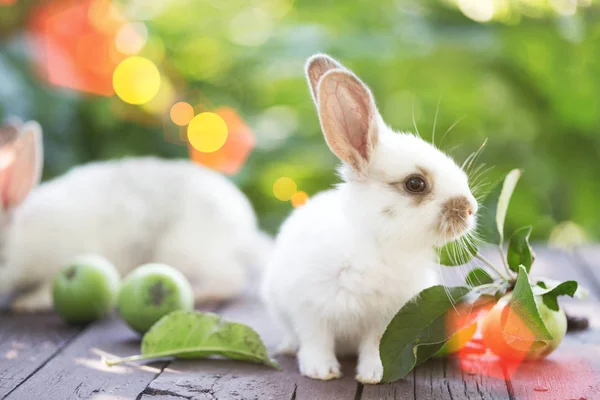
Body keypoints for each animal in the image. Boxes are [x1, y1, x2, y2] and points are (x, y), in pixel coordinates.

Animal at [0, 119, 272, 312]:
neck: (22, 239)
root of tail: (245, 233)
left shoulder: (65, 259)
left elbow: (47, 289)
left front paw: (27, 303)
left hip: (182, 251)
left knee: (231, 279)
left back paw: (200, 292)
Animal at [262, 55, 478, 384]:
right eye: (415, 184)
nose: (470, 209)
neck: (377, 244)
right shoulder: (309, 309)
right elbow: (316, 340)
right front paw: (321, 371)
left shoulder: (386, 318)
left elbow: (374, 345)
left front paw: (374, 374)